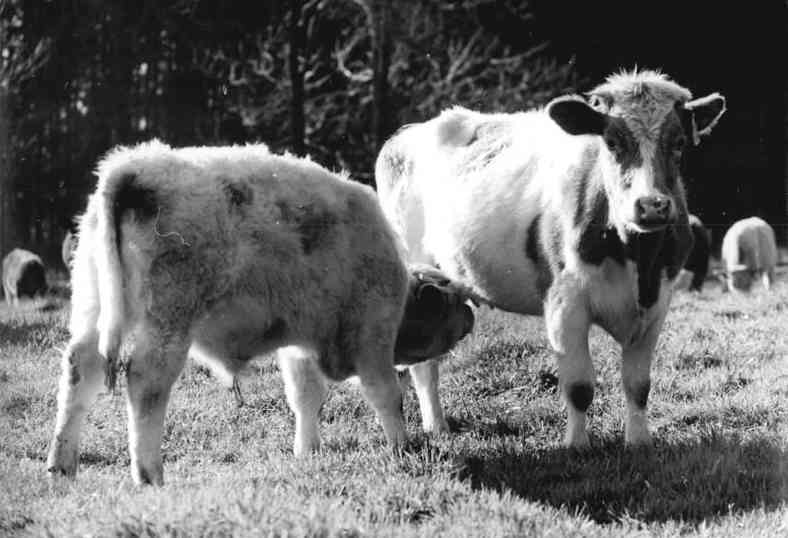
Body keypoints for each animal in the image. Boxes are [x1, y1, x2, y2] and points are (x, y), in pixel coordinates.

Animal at [47, 138, 412, 482]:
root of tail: (134, 167)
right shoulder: (373, 333)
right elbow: (386, 393)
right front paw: (403, 449)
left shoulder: (299, 345)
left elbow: (306, 396)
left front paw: (308, 451)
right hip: (168, 318)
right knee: (144, 382)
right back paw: (150, 474)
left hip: (93, 305)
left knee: (81, 368)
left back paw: (61, 465)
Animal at [376, 69, 728, 446]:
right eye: (612, 142)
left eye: (679, 143)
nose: (651, 205)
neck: (636, 258)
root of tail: (407, 134)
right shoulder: (565, 305)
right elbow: (579, 387)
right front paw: (576, 444)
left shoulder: (656, 306)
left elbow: (638, 386)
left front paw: (638, 441)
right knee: (424, 366)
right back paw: (436, 425)